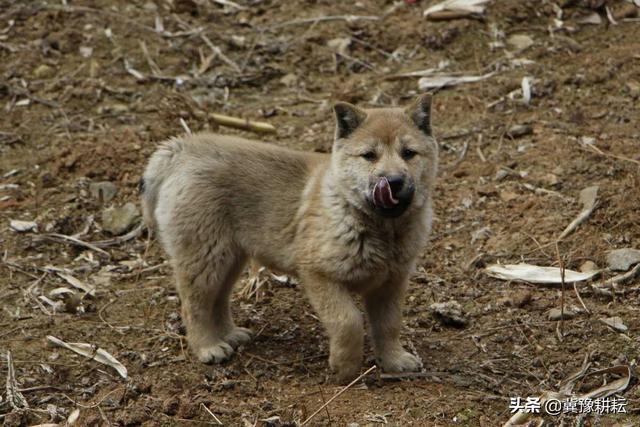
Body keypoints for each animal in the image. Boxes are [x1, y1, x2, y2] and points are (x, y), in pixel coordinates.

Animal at [142, 95, 438, 382]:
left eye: (408, 153)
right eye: (369, 156)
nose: (394, 181)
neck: (379, 227)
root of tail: (182, 148)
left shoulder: (391, 283)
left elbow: (389, 325)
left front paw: (394, 360)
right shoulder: (319, 276)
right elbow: (348, 322)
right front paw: (344, 368)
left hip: (229, 258)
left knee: (218, 300)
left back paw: (229, 334)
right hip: (205, 258)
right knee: (194, 306)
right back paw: (208, 347)